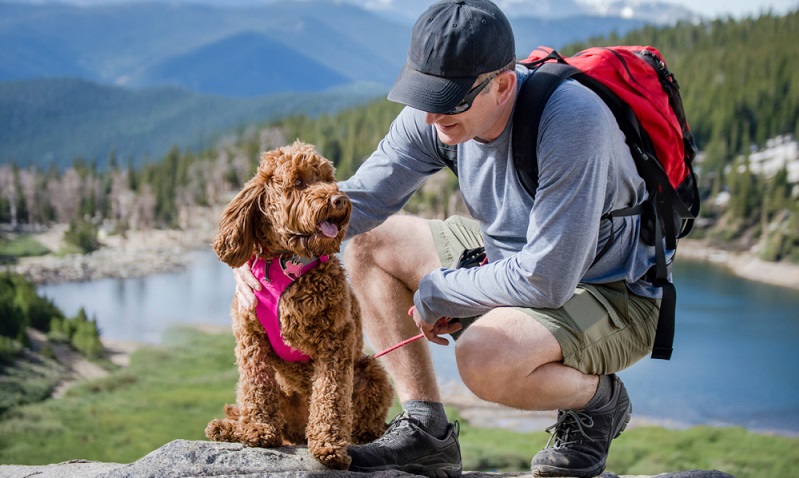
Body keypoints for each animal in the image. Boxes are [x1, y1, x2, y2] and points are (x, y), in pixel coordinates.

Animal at [206, 140, 394, 468]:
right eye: (298, 182)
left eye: (328, 178)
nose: (338, 200)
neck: (285, 261)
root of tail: (296, 434)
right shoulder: (250, 338)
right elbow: (255, 387)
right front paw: (258, 428)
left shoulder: (336, 342)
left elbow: (330, 396)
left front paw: (329, 445)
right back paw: (229, 428)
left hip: (371, 372)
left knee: (364, 424)